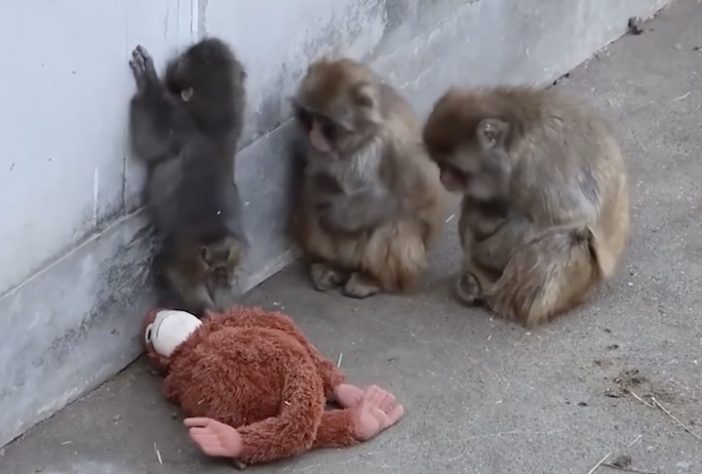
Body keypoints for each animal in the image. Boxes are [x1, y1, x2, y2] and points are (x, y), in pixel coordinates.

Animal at [128, 38, 248, 316]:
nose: (173, 64)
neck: (211, 125)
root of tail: (220, 243)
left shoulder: (179, 124)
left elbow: (150, 138)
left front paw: (148, 81)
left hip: (186, 255)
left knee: (179, 277)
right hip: (227, 263)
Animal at [290, 57, 445, 298]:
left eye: (326, 123)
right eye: (310, 118)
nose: (314, 137)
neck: (364, 139)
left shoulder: (399, 141)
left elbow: (422, 196)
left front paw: (344, 213)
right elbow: (314, 180)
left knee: (395, 224)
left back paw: (372, 278)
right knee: (311, 207)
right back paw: (334, 266)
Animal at [423, 86, 630, 327]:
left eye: (452, 167)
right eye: (439, 164)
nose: (442, 177)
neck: (514, 139)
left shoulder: (538, 165)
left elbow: (567, 218)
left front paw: (482, 251)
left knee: (563, 241)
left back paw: (495, 297)